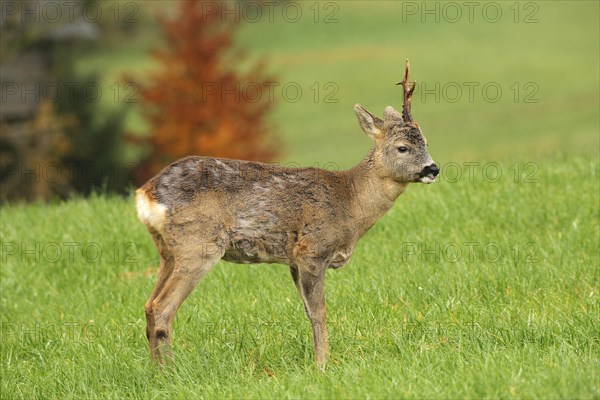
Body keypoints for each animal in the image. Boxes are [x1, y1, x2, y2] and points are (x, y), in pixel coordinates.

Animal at [137, 59, 436, 366]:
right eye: (403, 148)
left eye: (426, 142)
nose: (433, 169)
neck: (350, 203)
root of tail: (145, 195)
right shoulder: (312, 250)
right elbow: (319, 311)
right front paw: (323, 364)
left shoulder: (293, 261)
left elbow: (307, 311)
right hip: (197, 245)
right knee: (162, 308)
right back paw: (170, 370)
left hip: (168, 251)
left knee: (148, 306)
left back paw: (157, 368)